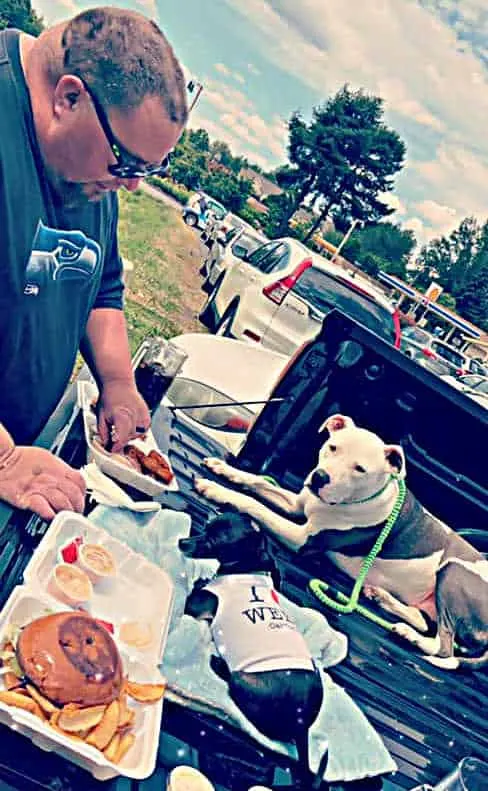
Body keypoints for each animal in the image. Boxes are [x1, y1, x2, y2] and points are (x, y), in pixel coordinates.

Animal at [178, 508, 324, 784]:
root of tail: (302, 724)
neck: (246, 570)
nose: (182, 542)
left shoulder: (196, 606)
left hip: (244, 679)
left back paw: (218, 663)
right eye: (208, 524)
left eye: (214, 541)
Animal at [194, 414, 488, 668]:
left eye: (360, 469)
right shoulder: (297, 505)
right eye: (333, 447)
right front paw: (225, 469)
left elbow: (255, 504)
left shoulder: (301, 538)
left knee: (444, 646)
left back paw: (412, 636)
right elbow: (259, 483)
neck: (356, 499)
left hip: (453, 569)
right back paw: (383, 599)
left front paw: (217, 490)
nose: (320, 477)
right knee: (425, 620)